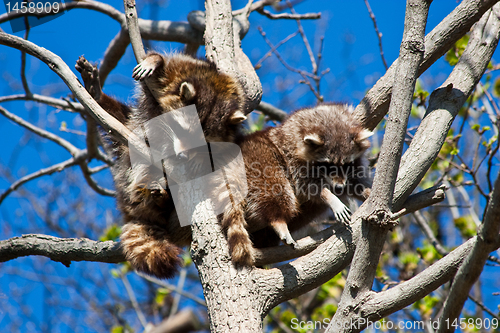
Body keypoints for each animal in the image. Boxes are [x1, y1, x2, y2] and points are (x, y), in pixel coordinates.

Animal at [75, 52, 246, 278]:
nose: (182, 156)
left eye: (202, 142)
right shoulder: (178, 70)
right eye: (182, 130)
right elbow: (158, 75)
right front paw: (154, 61)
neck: (213, 86)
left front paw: (199, 160)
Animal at [221, 104, 374, 264]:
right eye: (328, 165)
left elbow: (356, 182)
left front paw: (366, 192)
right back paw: (277, 219)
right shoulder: (291, 155)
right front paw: (330, 197)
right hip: (259, 158)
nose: (338, 187)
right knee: (274, 188)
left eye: (346, 164)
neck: (330, 120)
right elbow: (308, 186)